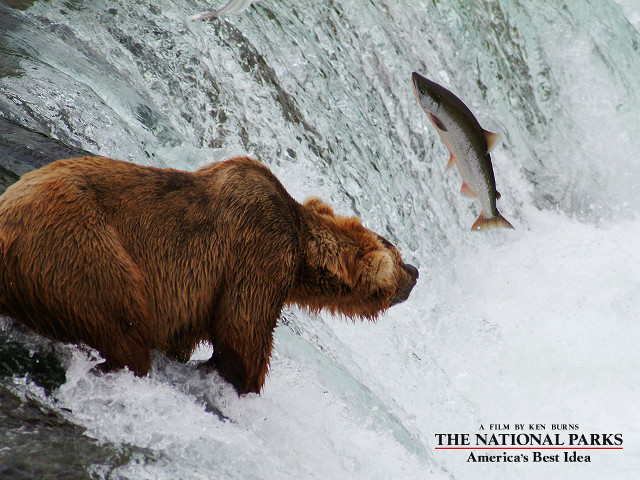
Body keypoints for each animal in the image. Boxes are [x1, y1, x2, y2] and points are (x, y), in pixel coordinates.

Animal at [0, 156, 418, 394]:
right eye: (395, 253)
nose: (415, 272)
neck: (302, 250)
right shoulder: (258, 251)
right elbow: (242, 329)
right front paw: (242, 381)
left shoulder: (192, 298)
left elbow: (185, 337)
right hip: (80, 249)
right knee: (123, 323)